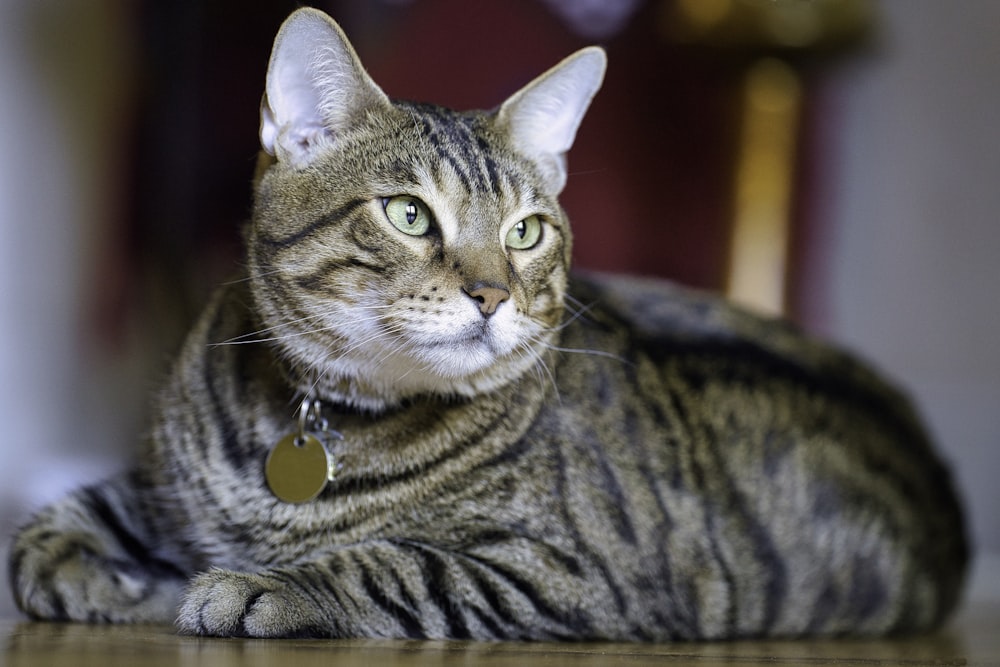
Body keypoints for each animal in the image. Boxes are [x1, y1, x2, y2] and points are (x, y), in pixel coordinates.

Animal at [5, 6, 968, 640]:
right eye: (407, 214)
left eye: (526, 231)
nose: (492, 293)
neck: (320, 419)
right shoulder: (152, 482)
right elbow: (40, 535)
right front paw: (116, 576)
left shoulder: (571, 572)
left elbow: (392, 560)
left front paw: (250, 585)